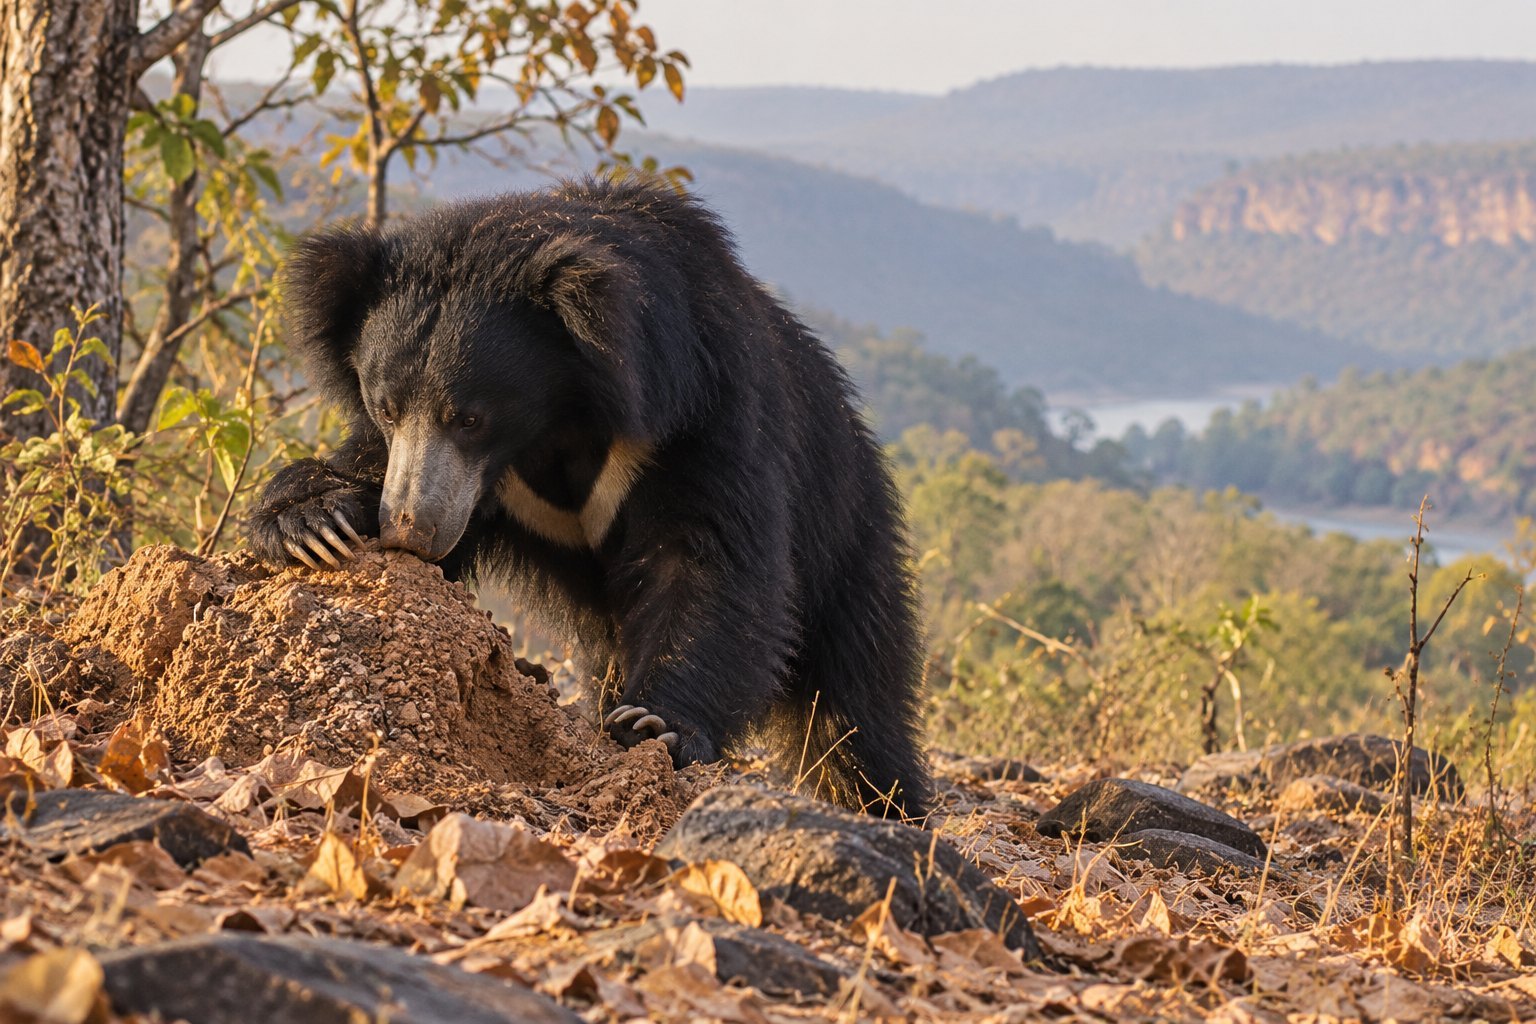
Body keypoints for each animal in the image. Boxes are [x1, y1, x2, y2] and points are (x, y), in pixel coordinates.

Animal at [245, 178, 932, 816]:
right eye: (386, 407)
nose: (410, 531)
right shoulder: (472, 479)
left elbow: (711, 560)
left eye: (470, 418)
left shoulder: (701, 411)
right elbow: (366, 471)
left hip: (848, 538)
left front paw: (655, 725)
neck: (559, 416)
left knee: (853, 701)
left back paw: (885, 803)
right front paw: (313, 523)